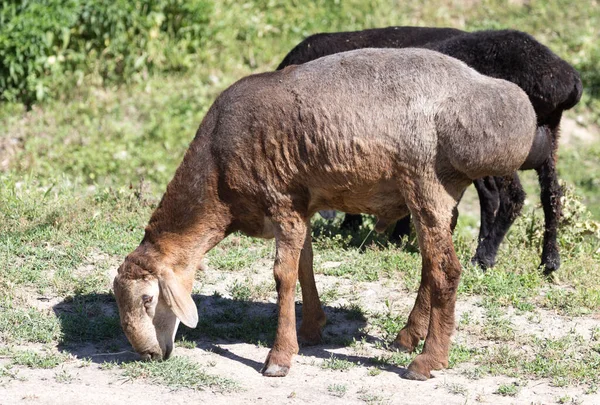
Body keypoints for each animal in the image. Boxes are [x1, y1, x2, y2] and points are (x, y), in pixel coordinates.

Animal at [115, 47, 536, 378]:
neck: (218, 177)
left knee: (445, 271)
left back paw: (427, 361)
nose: (148, 354)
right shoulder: (301, 207)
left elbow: (283, 276)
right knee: (430, 267)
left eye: (148, 299)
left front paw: (279, 357)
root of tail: (499, 98)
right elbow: (305, 265)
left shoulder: (283, 201)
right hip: (435, 197)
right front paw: (311, 329)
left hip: (426, 182)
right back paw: (407, 336)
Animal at [278, 27, 584, 274]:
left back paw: (483, 258)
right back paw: (548, 262)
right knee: (551, 196)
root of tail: (563, 80)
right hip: (547, 140)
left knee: (513, 197)